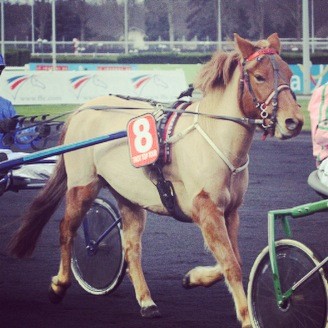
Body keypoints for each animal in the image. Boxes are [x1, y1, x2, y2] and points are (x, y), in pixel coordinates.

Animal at [8, 34, 304, 328]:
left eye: (289, 74)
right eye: (259, 77)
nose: (294, 122)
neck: (214, 138)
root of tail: (83, 109)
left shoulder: (230, 212)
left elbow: (232, 261)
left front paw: (193, 277)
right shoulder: (206, 210)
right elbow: (231, 264)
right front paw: (247, 318)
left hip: (128, 196)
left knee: (131, 248)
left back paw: (146, 301)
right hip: (83, 186)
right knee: (66, 229)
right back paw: (59, 285)